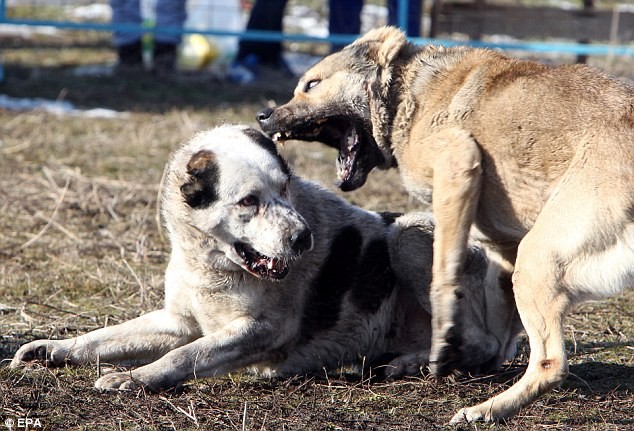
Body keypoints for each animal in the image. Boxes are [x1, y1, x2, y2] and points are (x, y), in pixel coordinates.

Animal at [258, 26, 632, 422]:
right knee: (502, 345)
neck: (407, 93)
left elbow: (442, 276)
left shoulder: (457, 164)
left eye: (311, 84)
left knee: (549, 362)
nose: (263, 114)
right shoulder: (502, 245)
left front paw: (444, 331)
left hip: (538, 257)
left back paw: (485, 408)